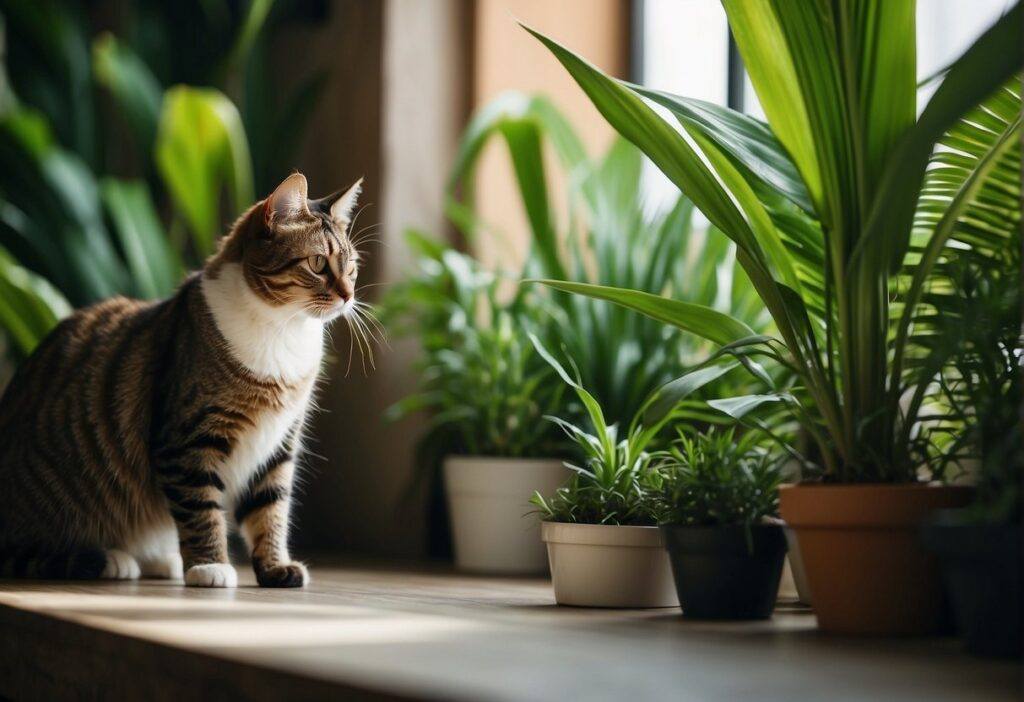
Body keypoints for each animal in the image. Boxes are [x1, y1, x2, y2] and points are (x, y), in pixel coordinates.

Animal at [0, 174, 364, 589]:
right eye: (318, 263)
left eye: (352, 267)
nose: (349, 296)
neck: (283, 330)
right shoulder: (187, 441)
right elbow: (200, 509)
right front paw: (210, 566)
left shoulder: (278, 443)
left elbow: (270, 509)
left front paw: (274, 567)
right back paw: (114, 559)